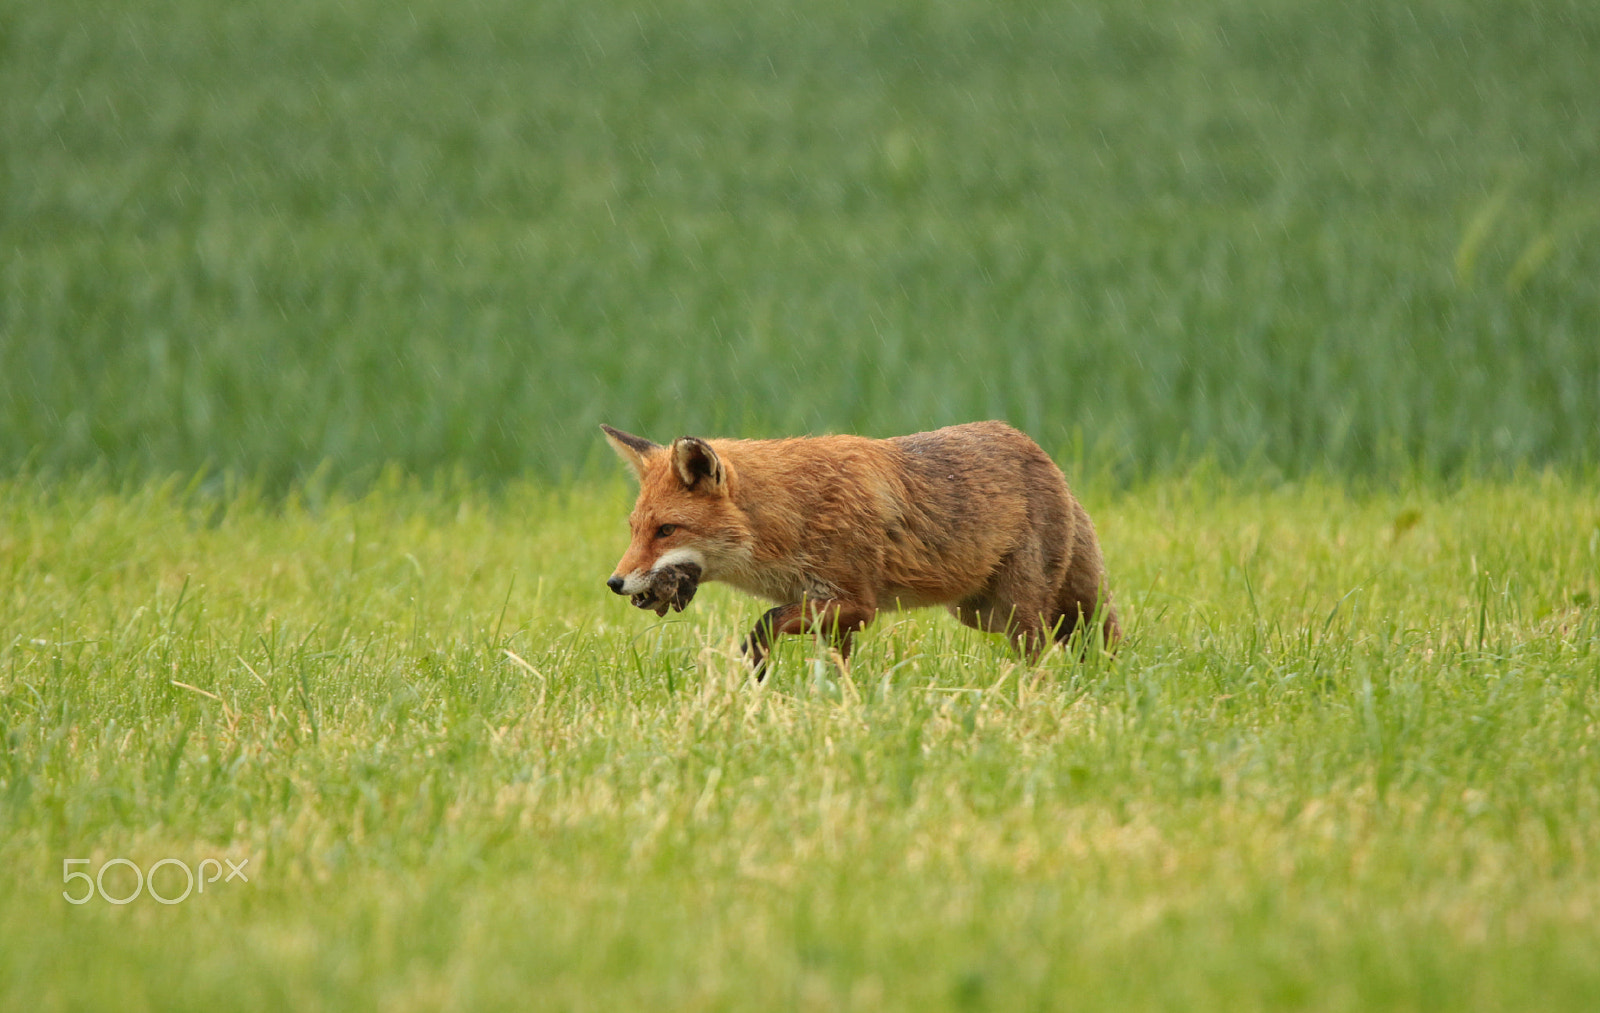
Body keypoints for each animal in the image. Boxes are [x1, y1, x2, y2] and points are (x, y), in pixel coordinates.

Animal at [601, 420, 1119, 677]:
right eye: (635, 530)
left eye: (667, 530)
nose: (614, 582)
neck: (791, 516)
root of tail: (1043, 456)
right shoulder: (832, 612)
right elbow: (836, 666)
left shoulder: (857, 602)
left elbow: (767, 622)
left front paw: (758, 668)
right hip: (978, 612)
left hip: (1015, 611)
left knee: (1046, 654)